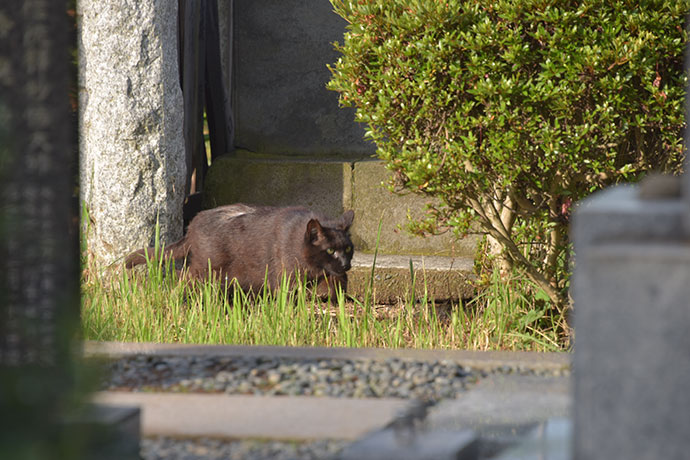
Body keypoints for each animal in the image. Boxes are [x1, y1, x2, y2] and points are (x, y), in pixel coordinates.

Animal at [126, 204, 354, 296]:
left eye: (348, 248)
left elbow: (333, 286)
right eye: (330, 251)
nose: (346, 264)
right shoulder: (286, 278)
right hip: (205, 269)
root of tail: (192, 224)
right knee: (182, 276)